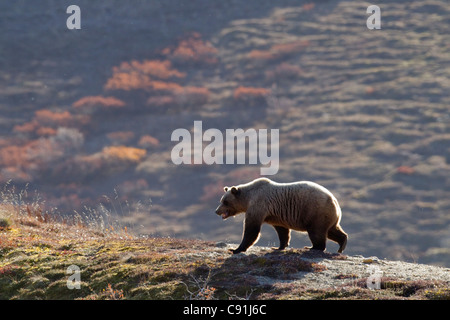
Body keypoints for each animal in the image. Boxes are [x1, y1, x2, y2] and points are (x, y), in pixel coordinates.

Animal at [215, 176, 348, 254]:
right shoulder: (276, 215)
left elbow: (251, 229)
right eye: (221, 200)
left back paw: (312, 247)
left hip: (316, 212)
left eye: (225, 201)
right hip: (328, 216)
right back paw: (342, 244)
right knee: (332, 230)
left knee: (317, 232)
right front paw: (279, 247)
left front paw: (236, 249)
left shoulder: (259, 205)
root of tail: (335, 201)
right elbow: (282, 231)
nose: (217, 211)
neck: (248, 199)